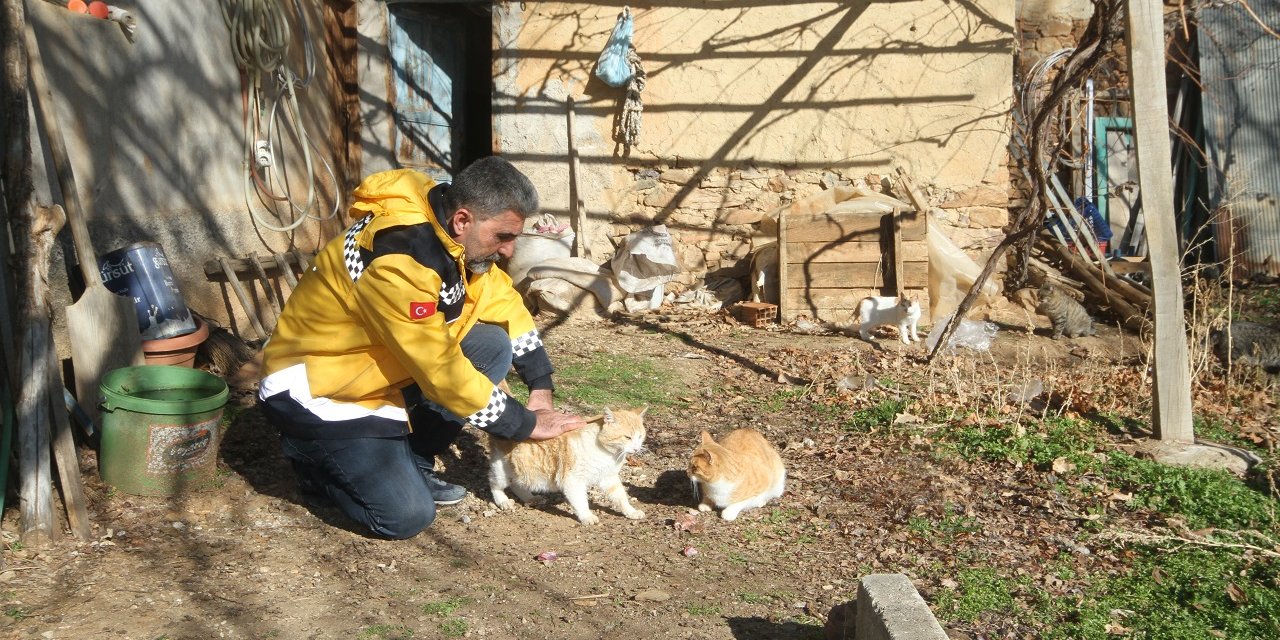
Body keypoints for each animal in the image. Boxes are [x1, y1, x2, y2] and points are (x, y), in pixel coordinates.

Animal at [488, 404, 650, 524]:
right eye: (627, 437)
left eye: (640, 436)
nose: (637, 448)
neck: (608, 454)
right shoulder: (573, 480)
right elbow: (580, 501)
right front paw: (587, 516)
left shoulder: (608, 478)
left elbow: (621, 496)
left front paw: (631, 511)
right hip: (502, 471)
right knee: (494, 483)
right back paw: (503, 501)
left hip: (522, 472)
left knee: (516, 484)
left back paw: (530, 497)